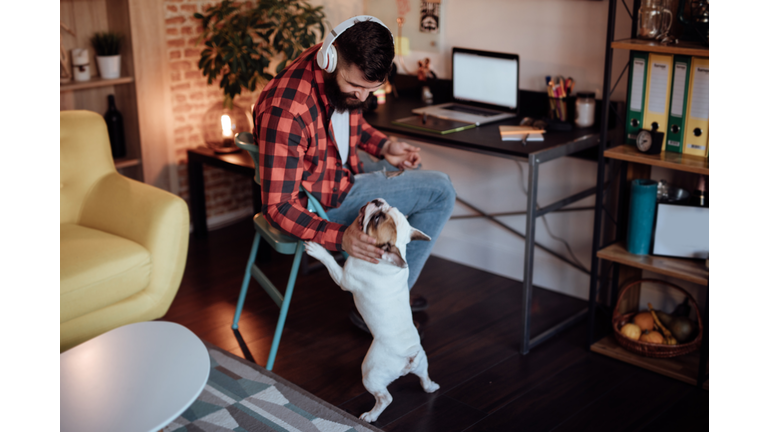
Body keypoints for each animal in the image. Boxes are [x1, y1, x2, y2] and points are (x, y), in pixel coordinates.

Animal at [304, 199, 440, 422]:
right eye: (386, 208)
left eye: (377, 219)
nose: (377, 201)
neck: (386, 260)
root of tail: (409, 358)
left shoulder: (343, 278)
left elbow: (331, 262)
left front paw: (318, 250)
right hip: (422, 362)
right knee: (424, 377)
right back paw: (431, 387)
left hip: (371, 374)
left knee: (385, 398)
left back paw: (370, 416)